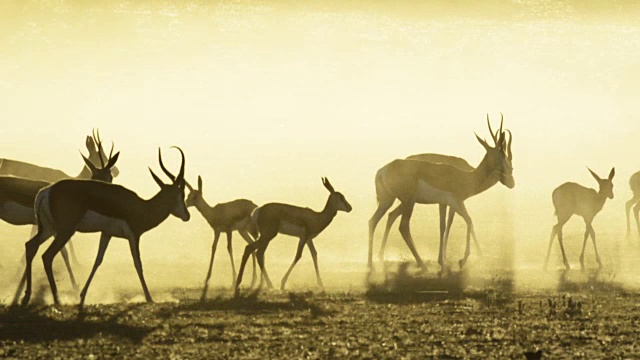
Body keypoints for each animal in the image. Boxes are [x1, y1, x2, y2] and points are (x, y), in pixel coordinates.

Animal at [15, 146, 190, 306]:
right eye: (181, 194)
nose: (187, 216)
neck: (141, 206)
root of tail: (46, 192)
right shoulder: (133, 236)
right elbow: (138, 264)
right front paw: (149, 298)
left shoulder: (107, 233)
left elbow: (98, 261)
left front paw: (82, 296)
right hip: (64, 231)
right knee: (47, 256)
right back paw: (57, 300)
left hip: (48, 229)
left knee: (30, 246)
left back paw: (26, 297)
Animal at [368, 114, 512, 272]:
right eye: (502, 154)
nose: (511, 181)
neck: (467, 177)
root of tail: (382, 171)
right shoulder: (457, 202)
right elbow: (468, 220)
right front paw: (462, 260)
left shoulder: (445, 203)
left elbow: (445, 225)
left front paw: (444, 260)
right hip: (408, 202)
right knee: (403, 227)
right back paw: (422, 265)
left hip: (388, 201)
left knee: (374, 220)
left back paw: (372, 264)